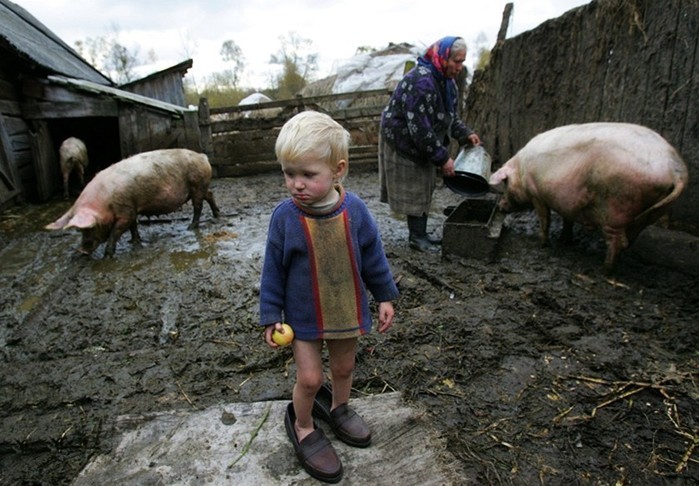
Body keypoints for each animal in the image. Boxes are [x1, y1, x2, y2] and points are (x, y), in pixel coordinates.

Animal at [45, 147, 220, 258]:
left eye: (89, 228)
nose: (82, 251)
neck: (106, 201)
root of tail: (202, 157)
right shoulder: (131, 207)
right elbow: (133, 225)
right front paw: (134, 241)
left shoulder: (125, 210)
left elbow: (117, 231)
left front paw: (107, 256)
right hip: (200, 187)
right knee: (210, 195)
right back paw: (216, 215)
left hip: (197, 184)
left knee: (198, 206)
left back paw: (191, 227)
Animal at [490, 121, 692, 274]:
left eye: (505, 184)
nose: (500, 206)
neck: (521, 169)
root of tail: (676, 170)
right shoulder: (567, 202)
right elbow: (567, 219)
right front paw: (564, 241)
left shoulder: (536, 194)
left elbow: (545, 219)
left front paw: (543, 244)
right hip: (650, 212)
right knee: (630, 239)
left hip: (617, 205)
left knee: (618, 240)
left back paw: (605, 270)